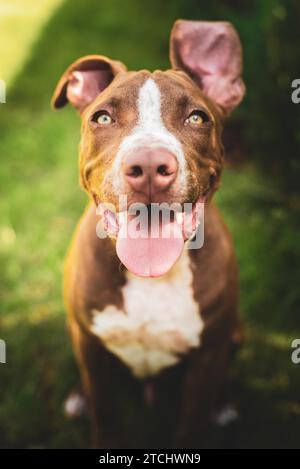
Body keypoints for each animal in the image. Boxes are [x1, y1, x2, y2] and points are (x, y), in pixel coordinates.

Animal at [51, 20, 244, 448]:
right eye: (103, 118)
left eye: (197, 118)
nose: (151, 165)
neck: (152, 277)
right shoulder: (90, 345)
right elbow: (105, 412)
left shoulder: (207, 357)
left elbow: (192, 423)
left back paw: (225, 405)